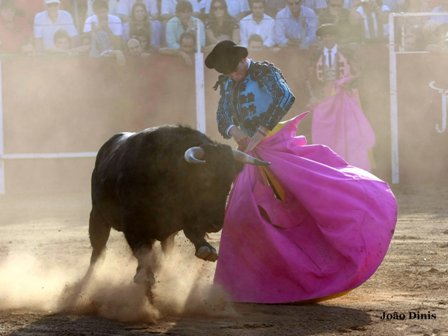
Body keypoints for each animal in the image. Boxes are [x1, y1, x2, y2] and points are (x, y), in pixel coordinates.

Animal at [89, 124, 268, 288]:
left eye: (229, 182)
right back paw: (92, 275)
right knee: (99, 247)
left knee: (167, 247)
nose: (215, 225)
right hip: (97, 214)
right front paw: (144, 276)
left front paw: (207, 250)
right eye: (204, 180)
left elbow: (193, 232)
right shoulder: (133, 223)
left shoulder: (188, 216)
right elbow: (142, 250)